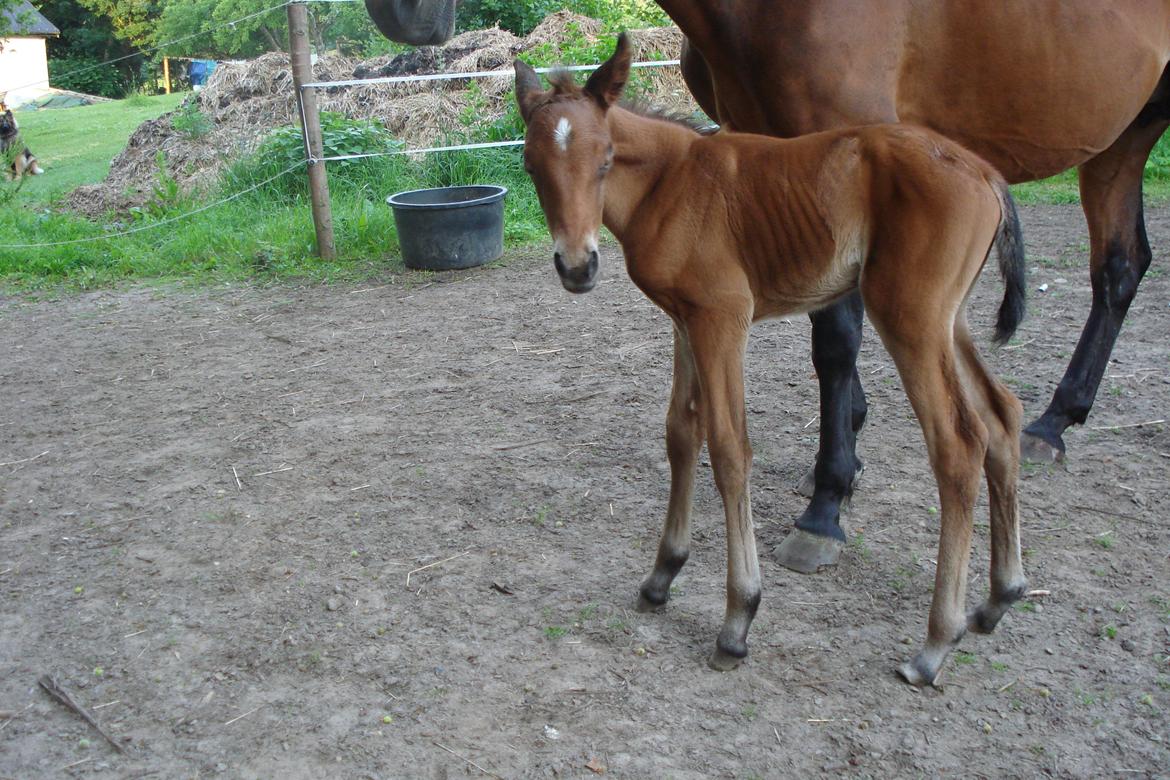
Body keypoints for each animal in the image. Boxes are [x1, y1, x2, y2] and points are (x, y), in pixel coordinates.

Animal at [517, 33, 1029, 687]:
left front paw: (738, 618)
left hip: (910, 318)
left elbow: (730, 448)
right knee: (1002, 415)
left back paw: (936, 642)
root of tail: (984, 171)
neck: (670, 181)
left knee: (958, 444)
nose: (577, 266)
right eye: (531, 166)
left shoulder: (723, 318)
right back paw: (999, 596)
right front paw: (662, 576)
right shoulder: (685, 320)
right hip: (950, 320)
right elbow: (681, 433)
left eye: (605, 159)